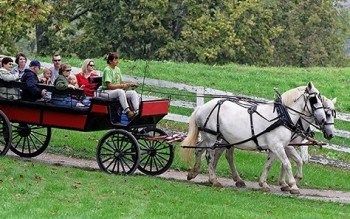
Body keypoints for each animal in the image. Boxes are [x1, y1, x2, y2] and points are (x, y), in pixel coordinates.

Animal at [180, 81, 326, 193]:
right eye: (314, 100)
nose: (323, 119)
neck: (282, 117)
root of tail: (201, 107)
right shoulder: (278, 146)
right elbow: (287, 163)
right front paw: (293, 186)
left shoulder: (275, 148)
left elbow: (270, 164)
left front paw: (264, 183)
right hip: (211, 137)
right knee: (209, 156)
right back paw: (214, 180)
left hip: (213, 137)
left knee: (200, 149)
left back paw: (194, 173)